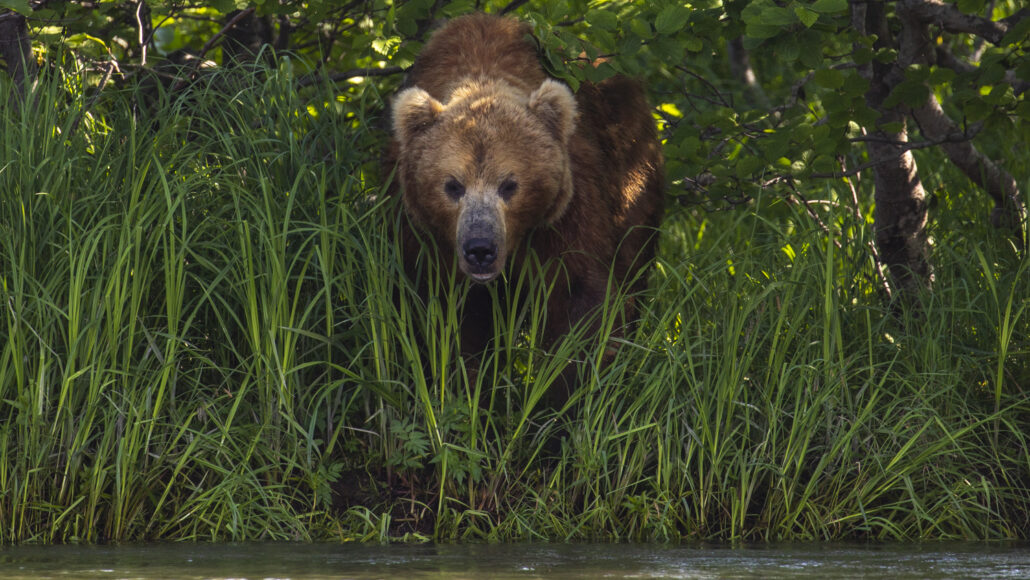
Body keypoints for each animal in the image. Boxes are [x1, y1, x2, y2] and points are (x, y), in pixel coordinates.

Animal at [387, 13, 664, 401]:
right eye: (452, 185)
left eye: (510, 184)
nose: (480, 249)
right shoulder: (419, 230)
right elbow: (441, 313)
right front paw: (468, 391)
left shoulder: (568, 210)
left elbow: (579, 298)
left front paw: (559, 400)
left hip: (633, 183)